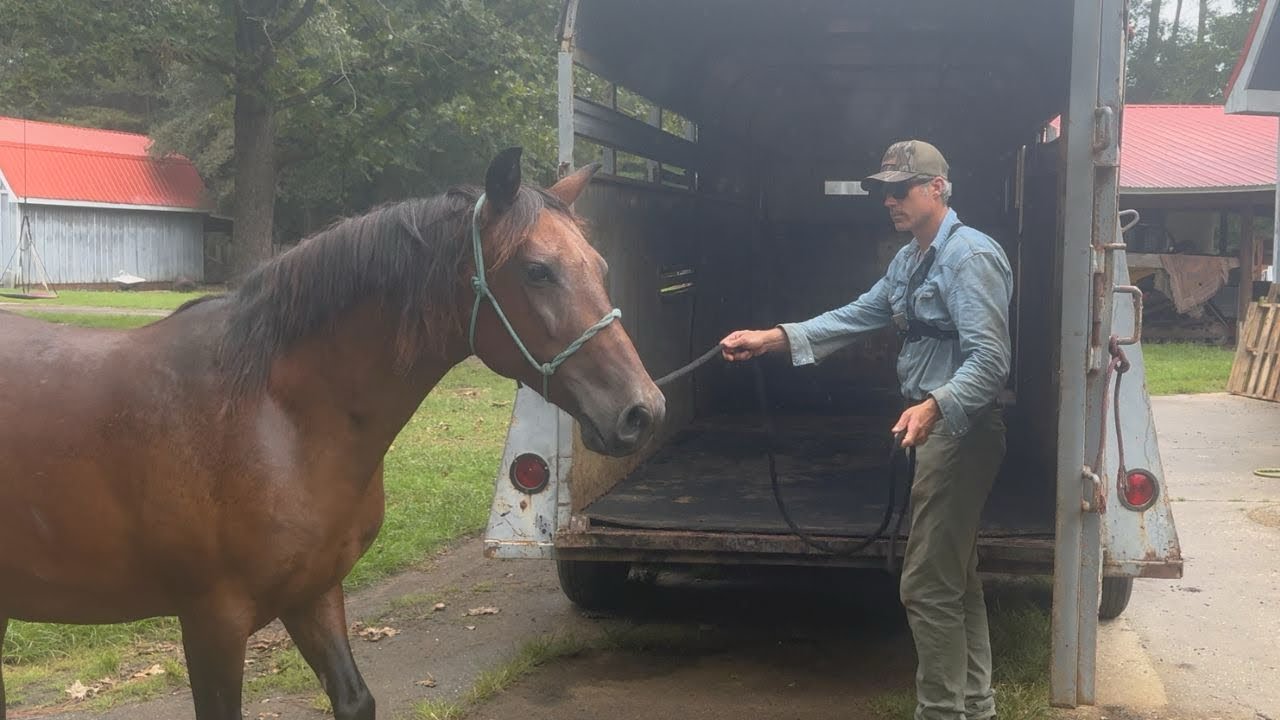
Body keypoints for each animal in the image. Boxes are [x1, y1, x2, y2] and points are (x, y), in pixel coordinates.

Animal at [0, 147, 665, 720]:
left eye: (600, 266)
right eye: (537, 271)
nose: (643, 410)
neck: (275, 420)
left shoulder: (315, 593)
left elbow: (354, 698)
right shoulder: (212, 621)